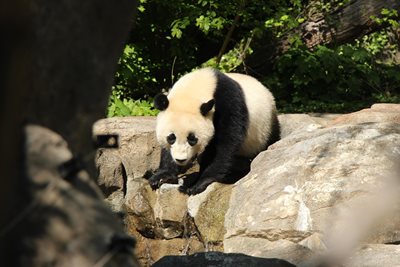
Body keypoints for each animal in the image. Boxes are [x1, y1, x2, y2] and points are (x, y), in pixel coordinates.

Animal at [147, 68, 278, 196]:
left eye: (192, 139)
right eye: (171, 137)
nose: (181, 160)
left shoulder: (229, 103)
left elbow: (226, 143)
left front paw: (198, 184)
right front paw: (161, 176)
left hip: (264, 129)